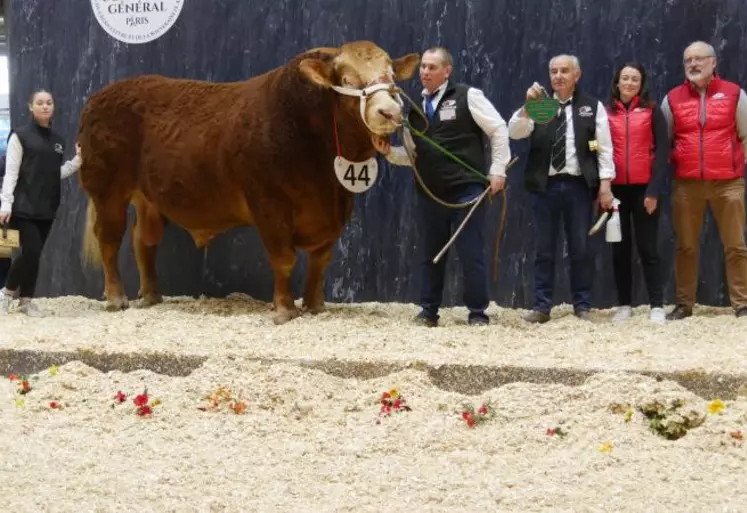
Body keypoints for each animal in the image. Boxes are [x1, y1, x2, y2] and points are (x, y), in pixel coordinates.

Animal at [79, 43, 424, 324]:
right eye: (348, 82)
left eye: (392, 78)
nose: (389, 111)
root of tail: (99, 96)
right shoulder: (269, 204)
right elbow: (284, 259)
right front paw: (284, 309)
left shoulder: (335, 212)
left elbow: (320, 261)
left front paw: (315, 306)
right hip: (106, 189)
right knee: (109, 240)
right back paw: (117, 299)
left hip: (148, 198)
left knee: (144, 240)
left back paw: (151, 296)